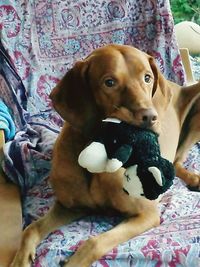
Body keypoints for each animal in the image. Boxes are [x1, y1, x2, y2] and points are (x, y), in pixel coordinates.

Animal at [10, 45, 200, 266]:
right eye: (109, 82)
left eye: (147, 77)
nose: (150, 117)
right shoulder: (68, 206)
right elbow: (30, 229)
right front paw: (20, 259)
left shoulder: (147, 214)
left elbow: (94, 242)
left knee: (177, 160)